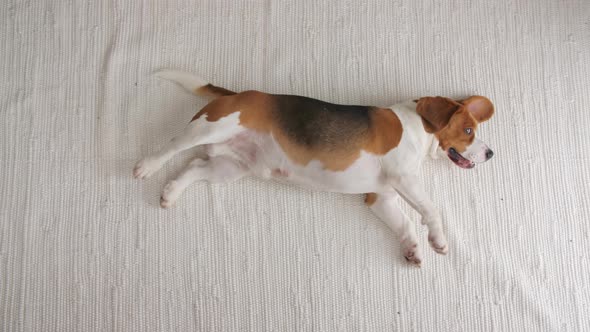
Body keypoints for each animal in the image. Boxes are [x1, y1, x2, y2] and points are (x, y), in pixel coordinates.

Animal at [134, 69, 494, 264]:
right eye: (468, 131)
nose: (490, 154)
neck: (417, 126)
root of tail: (237, 94)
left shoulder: (382, 197)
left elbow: (404, 224)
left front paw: (413, 249)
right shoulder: (405, 179)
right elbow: (431, 209)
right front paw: (438, 240)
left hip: (231, 167)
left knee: (194, 166)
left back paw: (170, 193)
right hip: (209, 129)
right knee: (173, 146)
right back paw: (147, 167)